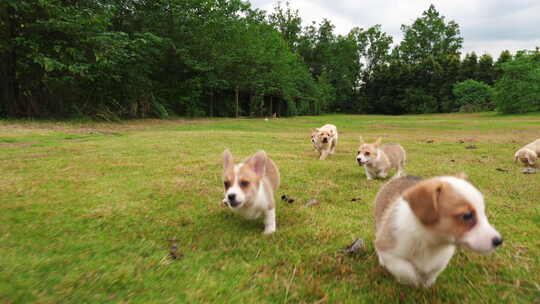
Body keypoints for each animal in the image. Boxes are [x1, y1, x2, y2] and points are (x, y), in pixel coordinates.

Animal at [372, 173, 502, 288]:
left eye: (483, 211)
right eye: (467, 216)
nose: (499, 241)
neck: (429, 241)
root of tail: (401, 176)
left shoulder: (442, 259)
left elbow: (433, 272)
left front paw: (427, 284)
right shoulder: (389, 252)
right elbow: (406, 271)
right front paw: (413, 282)